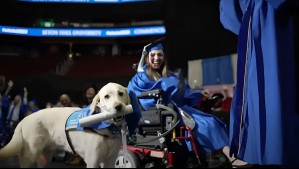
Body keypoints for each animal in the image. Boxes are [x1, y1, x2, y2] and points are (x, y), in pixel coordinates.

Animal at [0, 82, 132, 168]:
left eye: (120, 93)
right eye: (106, 96)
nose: (118, 107)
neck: (106, 127)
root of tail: (24, 119)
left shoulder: (110, 161)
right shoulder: (92, 161)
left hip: (45, 157)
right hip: (29, 156)